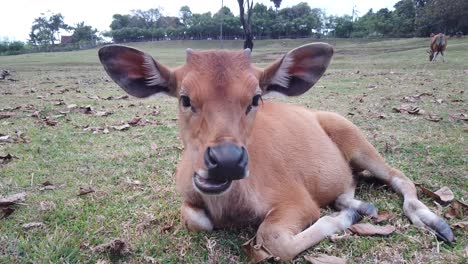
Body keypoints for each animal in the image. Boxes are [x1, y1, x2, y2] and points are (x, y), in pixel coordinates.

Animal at [98, 42, 454, 260]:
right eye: (184, 98)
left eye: (256, 97)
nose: (226, 160)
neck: (233, 205)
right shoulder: (189, 200)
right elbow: (196, 220)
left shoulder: (297, 200)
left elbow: (274, 240)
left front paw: (339, 221)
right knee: (349, 187)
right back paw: (361, 206)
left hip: (355, 138)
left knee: (401, 178)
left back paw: (433, 222)